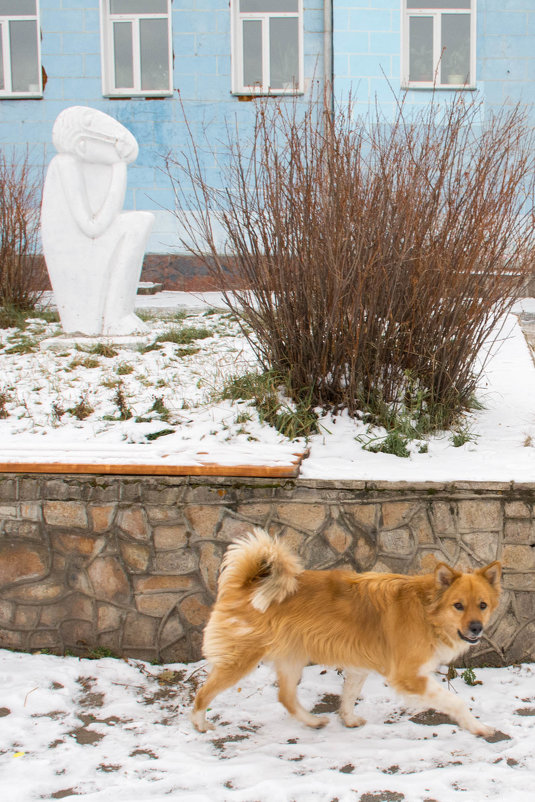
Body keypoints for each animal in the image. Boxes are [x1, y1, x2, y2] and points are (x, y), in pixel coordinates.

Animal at [193, 528, 502, 736]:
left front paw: (348, 719)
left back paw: (313, 721)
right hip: (241, 659)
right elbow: (455, 702)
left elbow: (350, 695)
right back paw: (199, 723)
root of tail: (247, 583)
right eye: (458, 605)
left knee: (286, 698)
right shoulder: (408, 676)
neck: (427, 611)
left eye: (482, 605)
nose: (476, 628)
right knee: (202, 693)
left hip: (292, 658)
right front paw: (478, 727)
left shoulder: (359, 665)